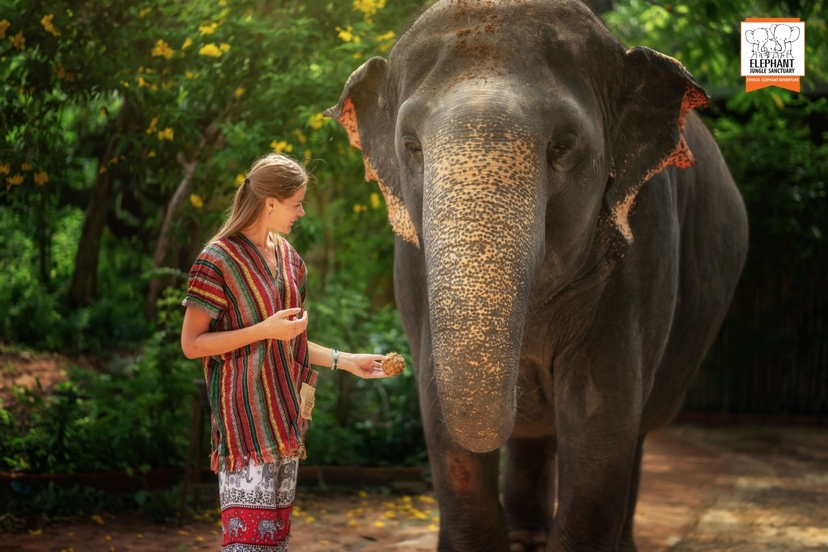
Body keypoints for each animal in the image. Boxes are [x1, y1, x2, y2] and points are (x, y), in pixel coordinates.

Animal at [326, 1, 748, 550]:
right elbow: (440, 420)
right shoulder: (412, 263)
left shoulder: (643, 248)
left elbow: (600, 419)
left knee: (634, 432)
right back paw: (527, 537)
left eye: (564, 145)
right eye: (412, 146)